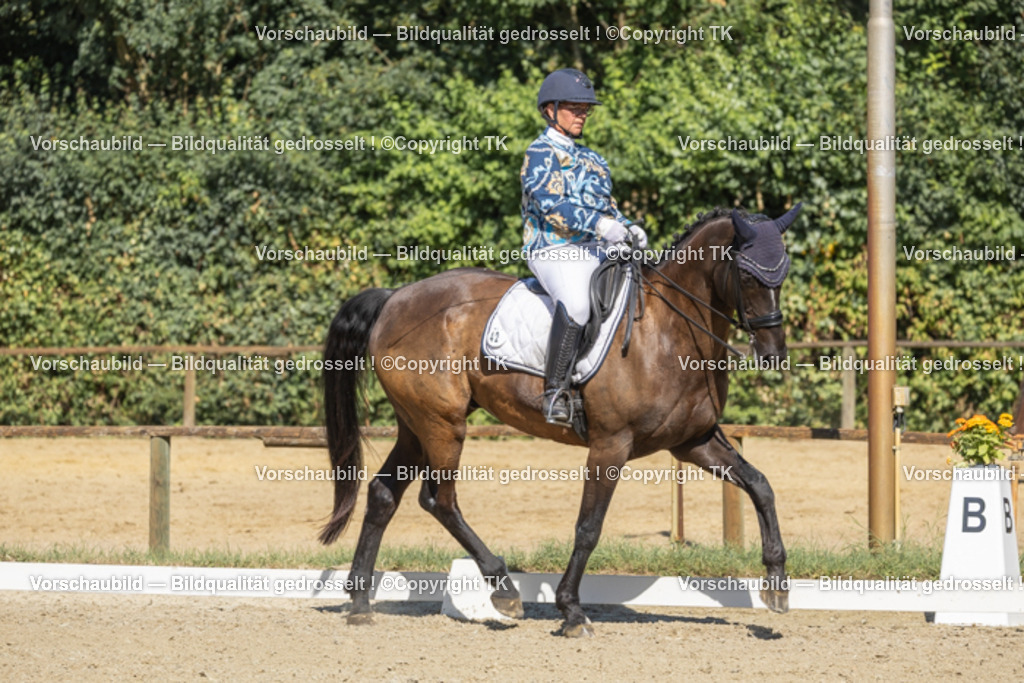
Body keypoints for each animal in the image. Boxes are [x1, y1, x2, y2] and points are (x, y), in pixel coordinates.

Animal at [319, 204, 801, 637]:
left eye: (783, 273)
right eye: (746, 276)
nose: (773, 354)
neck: (669, 333)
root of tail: (394, 298)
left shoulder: (693, 441)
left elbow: (761, 486)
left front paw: (777, 584)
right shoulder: (611, 445)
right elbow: (588, 527)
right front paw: (571, 611)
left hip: (416, 425)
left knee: (384, 494)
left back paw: (360, 603)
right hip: (443, 424)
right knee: (440, 501)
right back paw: (503, 588)